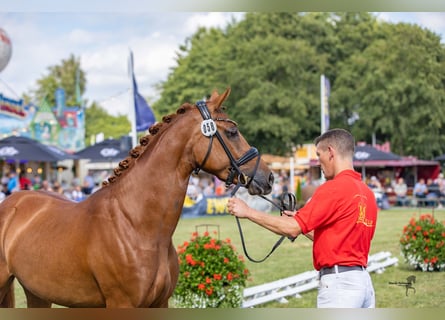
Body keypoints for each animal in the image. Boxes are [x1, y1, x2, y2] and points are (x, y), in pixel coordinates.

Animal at [0, 88, 272, 308]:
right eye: (233, 132)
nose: (268, 177)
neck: (135, 224)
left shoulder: (160, 303)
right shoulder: (122, 304)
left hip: (37, 293)